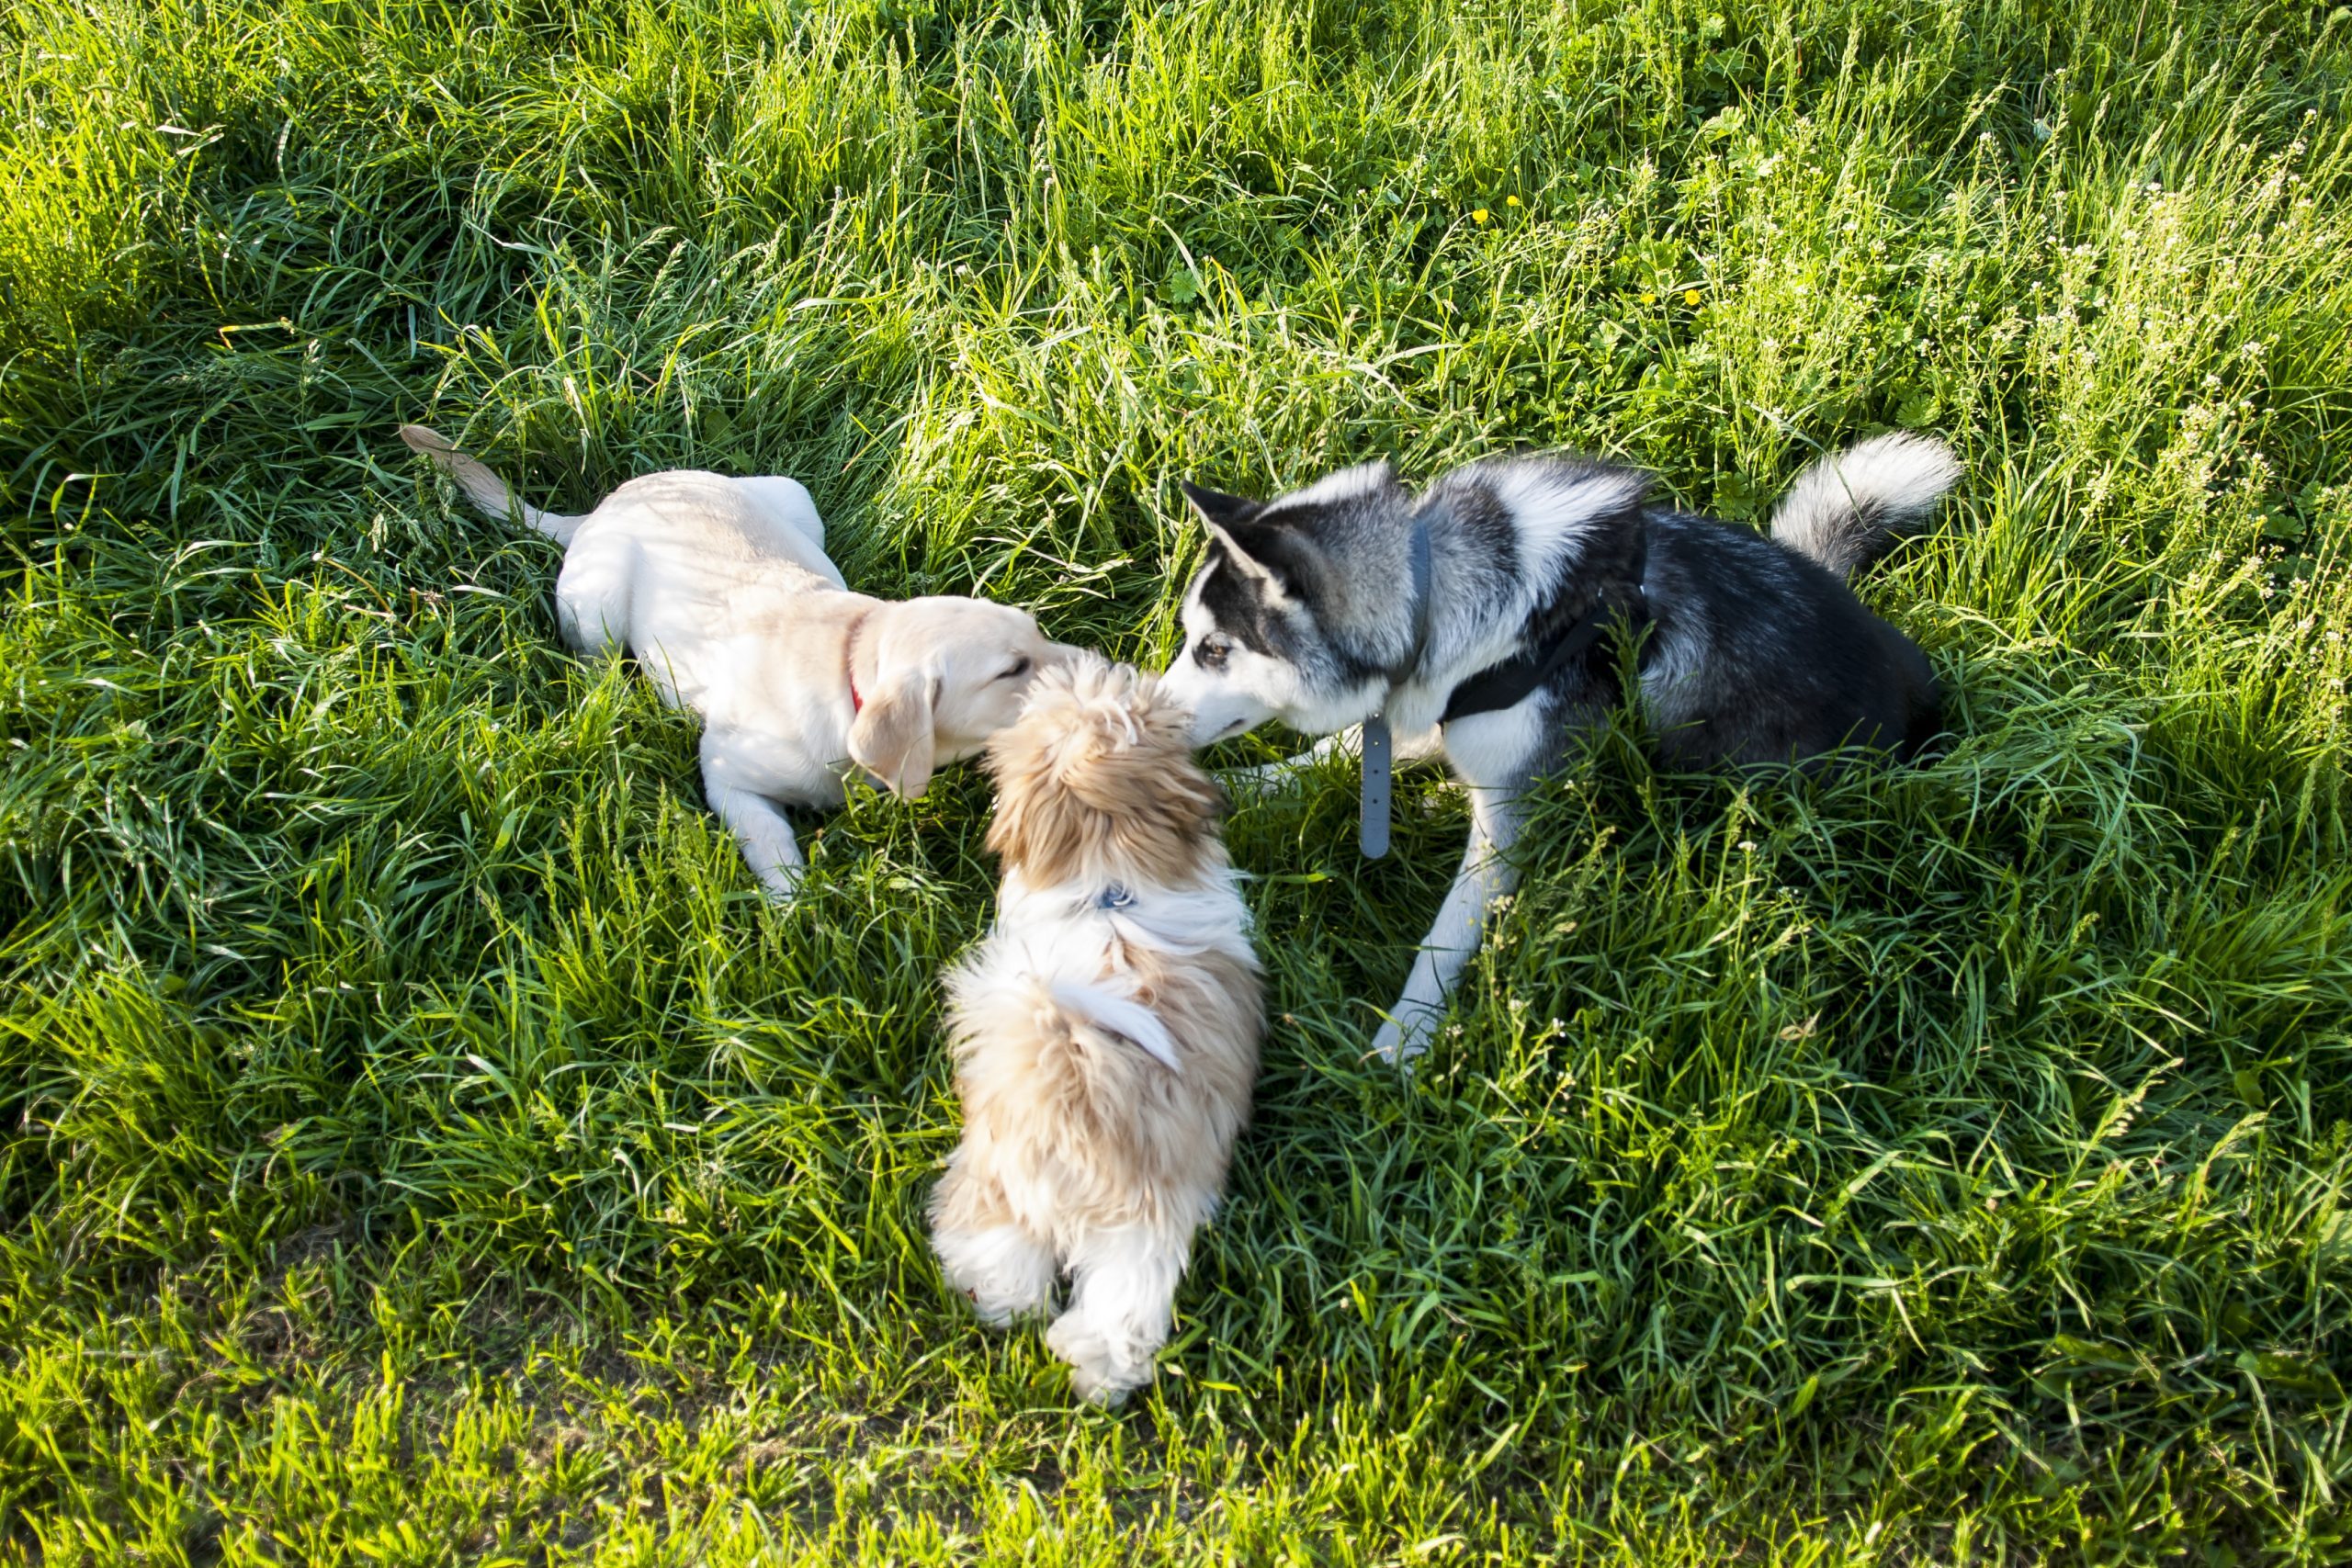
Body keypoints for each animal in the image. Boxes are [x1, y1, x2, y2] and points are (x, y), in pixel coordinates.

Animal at [397, 423, 1077, 902]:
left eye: (1037, 634)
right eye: (1012, 669)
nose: (1094, 663)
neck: (848, 670)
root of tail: (605, 505)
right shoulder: (725, 774)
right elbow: (770, 837)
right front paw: (791, 904)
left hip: (791, 496)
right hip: (596, 608)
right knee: (592, 659)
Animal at [935, 658, 1270, 1401]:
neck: (1108, 887)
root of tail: (1068, 1070)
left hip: (1000, 1175)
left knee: (1005, 1250)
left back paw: (1002, 1304)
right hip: (1145, 1212)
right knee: (1128, 1298)